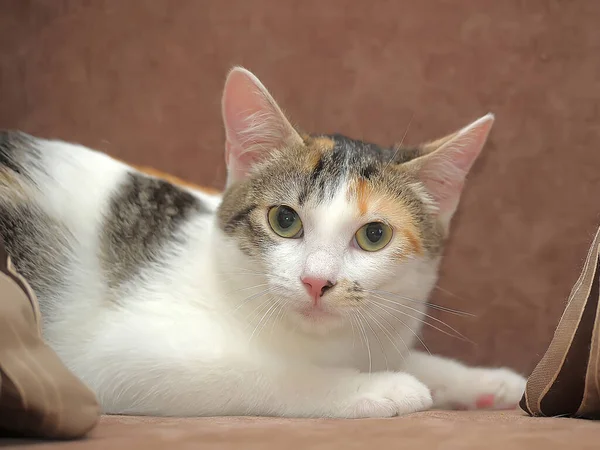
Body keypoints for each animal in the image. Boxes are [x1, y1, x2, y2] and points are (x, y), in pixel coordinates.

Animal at [0, 67, 524, 418]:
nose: (316, 281)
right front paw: (379, 388)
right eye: (284, 220)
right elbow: (260, 371)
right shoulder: (113, 357)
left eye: (374, 235)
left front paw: (485, 381)